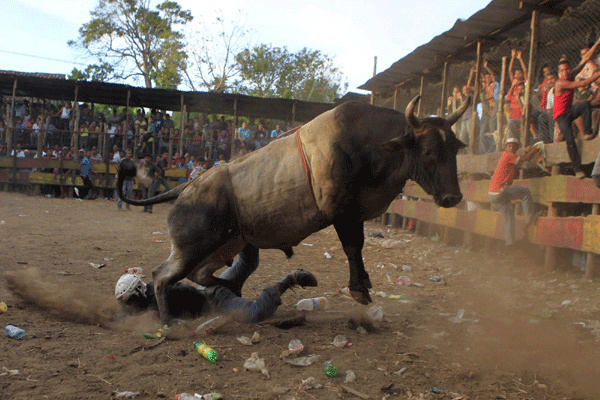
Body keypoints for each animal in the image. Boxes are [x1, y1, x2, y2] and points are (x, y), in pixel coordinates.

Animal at [117, 96, 472, 324]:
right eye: (428, 150)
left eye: (455, 148)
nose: (452, 197)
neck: (368, 143)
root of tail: (186, 187)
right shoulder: (342, 211)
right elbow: (352, 246)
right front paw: (359, 289)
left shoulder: (353, 212)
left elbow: (356, 247)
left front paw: (364, 284)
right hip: (192, 247)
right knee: (162, 276)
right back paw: (168, 320)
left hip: (224, 245)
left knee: (201, 274)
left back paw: (228, 287)